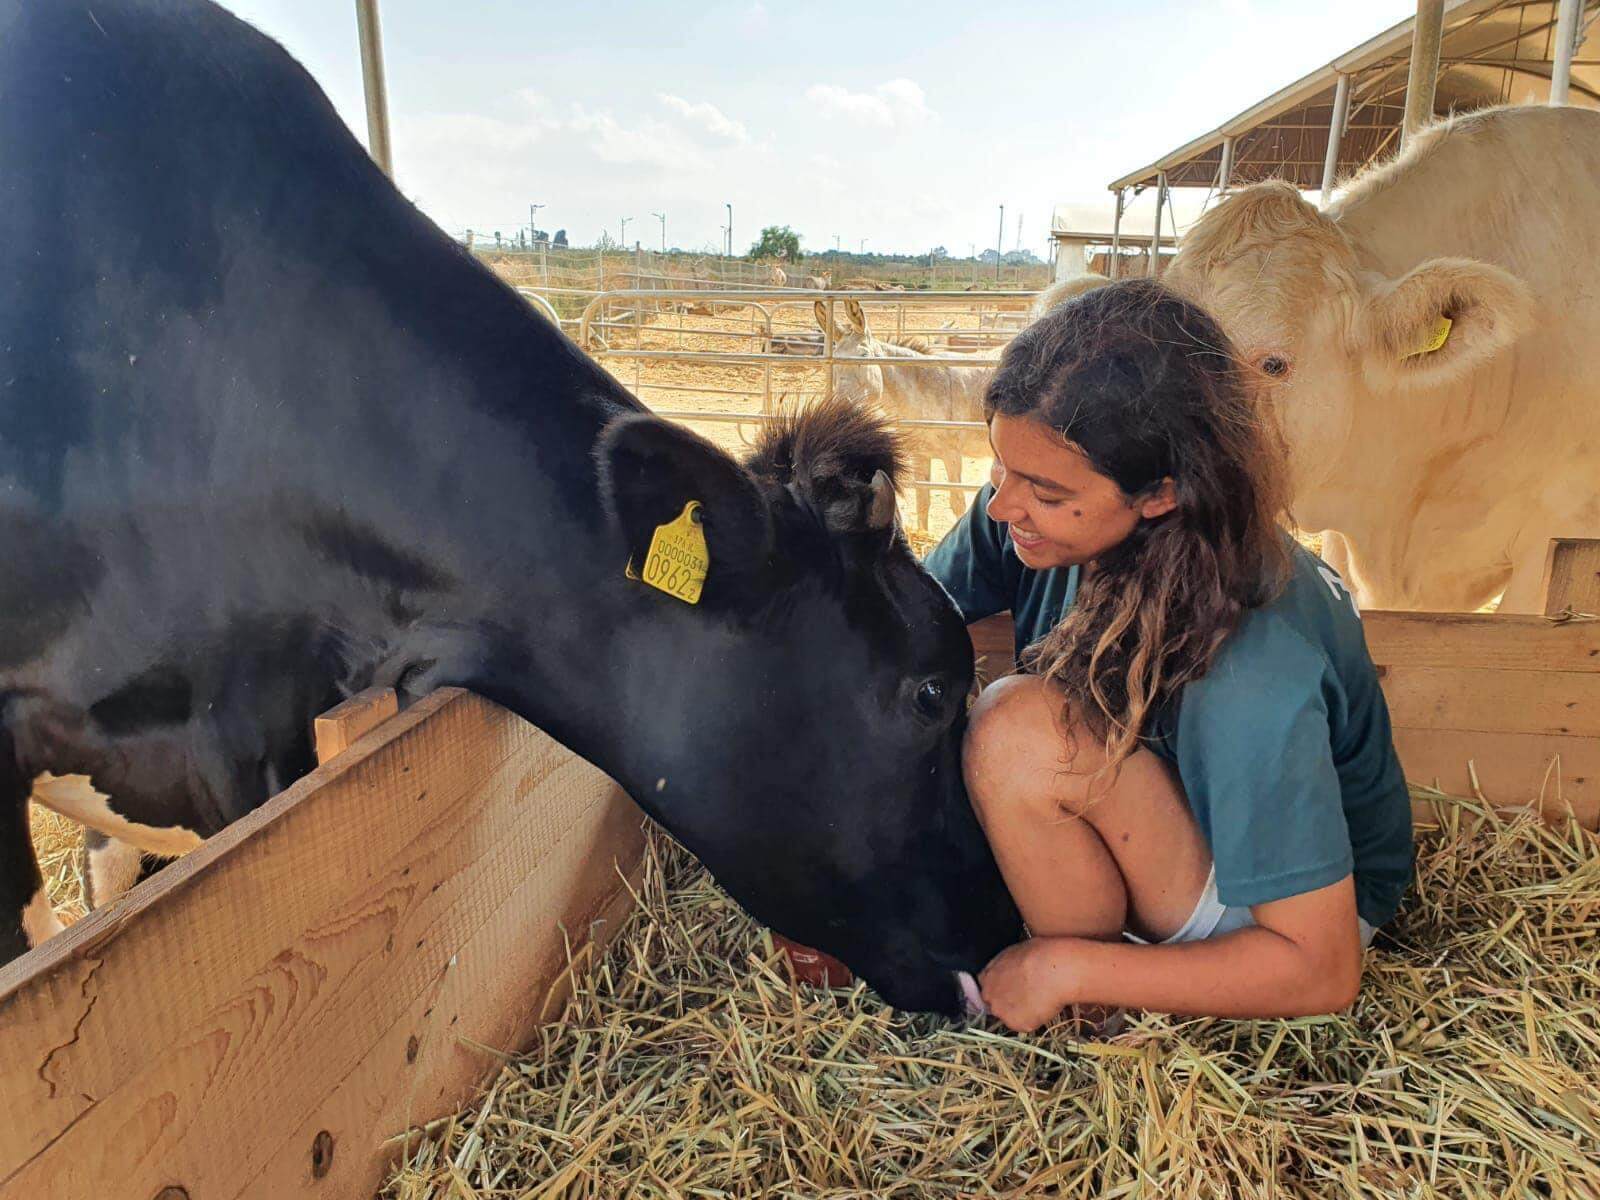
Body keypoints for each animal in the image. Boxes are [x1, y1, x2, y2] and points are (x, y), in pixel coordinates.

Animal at [819, 300, 992, 531]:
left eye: (864, 356)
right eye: (834, 361)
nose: (842, 409)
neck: (920, 393)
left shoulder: (952, 454)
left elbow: (957, 502)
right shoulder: (920, 455)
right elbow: (923, 500)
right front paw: (922, 532)